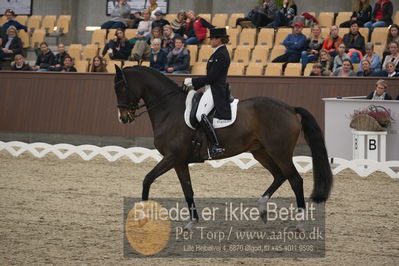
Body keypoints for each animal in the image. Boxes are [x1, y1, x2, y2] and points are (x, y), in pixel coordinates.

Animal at [113, 65, 334, 231]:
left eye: (121, 87)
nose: (123, 118)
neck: (169, 109)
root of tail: (289, 108)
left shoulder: (172, 157)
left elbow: (147, 179)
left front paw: (141, 217)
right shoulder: (179, 162)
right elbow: (187, 190)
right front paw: (191, 223)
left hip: (280, 152)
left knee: (295, 180)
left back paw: (300, 223)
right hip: (260, 152)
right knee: (279, 176)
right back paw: (262, 209)